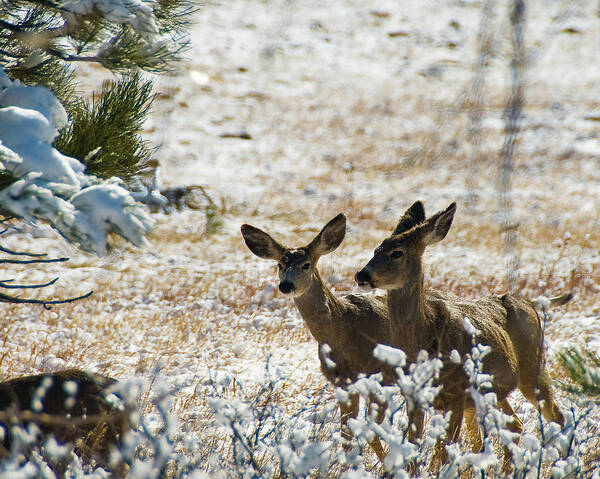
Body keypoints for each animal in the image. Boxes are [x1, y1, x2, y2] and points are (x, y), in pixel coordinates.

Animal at [239, 215, 398, 462]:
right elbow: (346, 434)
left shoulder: (379, 375)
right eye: (280, 264)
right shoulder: (341, 381)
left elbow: (369, 431)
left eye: (306, 264)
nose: (286, 285)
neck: (344, 331)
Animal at [356, 202, 572, 472]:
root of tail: (531, 302)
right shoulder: (414, 396)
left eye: (397, 253)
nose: (361, 275)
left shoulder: (456, 395)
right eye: (376, 249)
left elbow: (443, 453)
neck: (423, 341)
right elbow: (413, 448)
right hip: (491, 392)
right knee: (515, 424)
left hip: (533, 366)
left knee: (557, 416)